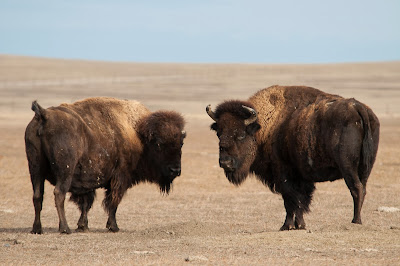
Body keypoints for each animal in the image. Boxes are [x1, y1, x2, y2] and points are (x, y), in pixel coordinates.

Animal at [24, 97, 186, 233]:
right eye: (158, 144)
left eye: (181, 144)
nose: (175, 170)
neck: (138, 133)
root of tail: (44, 114)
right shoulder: (120, 178)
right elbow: (113, 203)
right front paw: (113, 227)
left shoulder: (86, 182)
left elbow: (86, 204)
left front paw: (83, 226)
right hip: (64, 172)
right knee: (59, 194)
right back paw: (65, 228)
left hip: (35, 170)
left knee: (37, 196)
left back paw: (37, 229)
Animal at [208, 85, 380, 231]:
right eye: (219, 133)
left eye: (241, 135)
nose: (225, 162)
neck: (263, 127)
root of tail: (357, 107)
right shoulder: (301, 177)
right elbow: (301, 201)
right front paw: (300, 225)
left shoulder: (283, 174)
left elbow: (290, 200)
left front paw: (287, 226)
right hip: (366, 167)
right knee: (363, 188)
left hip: (347, 167)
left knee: (356, 188)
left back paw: (355, 220)